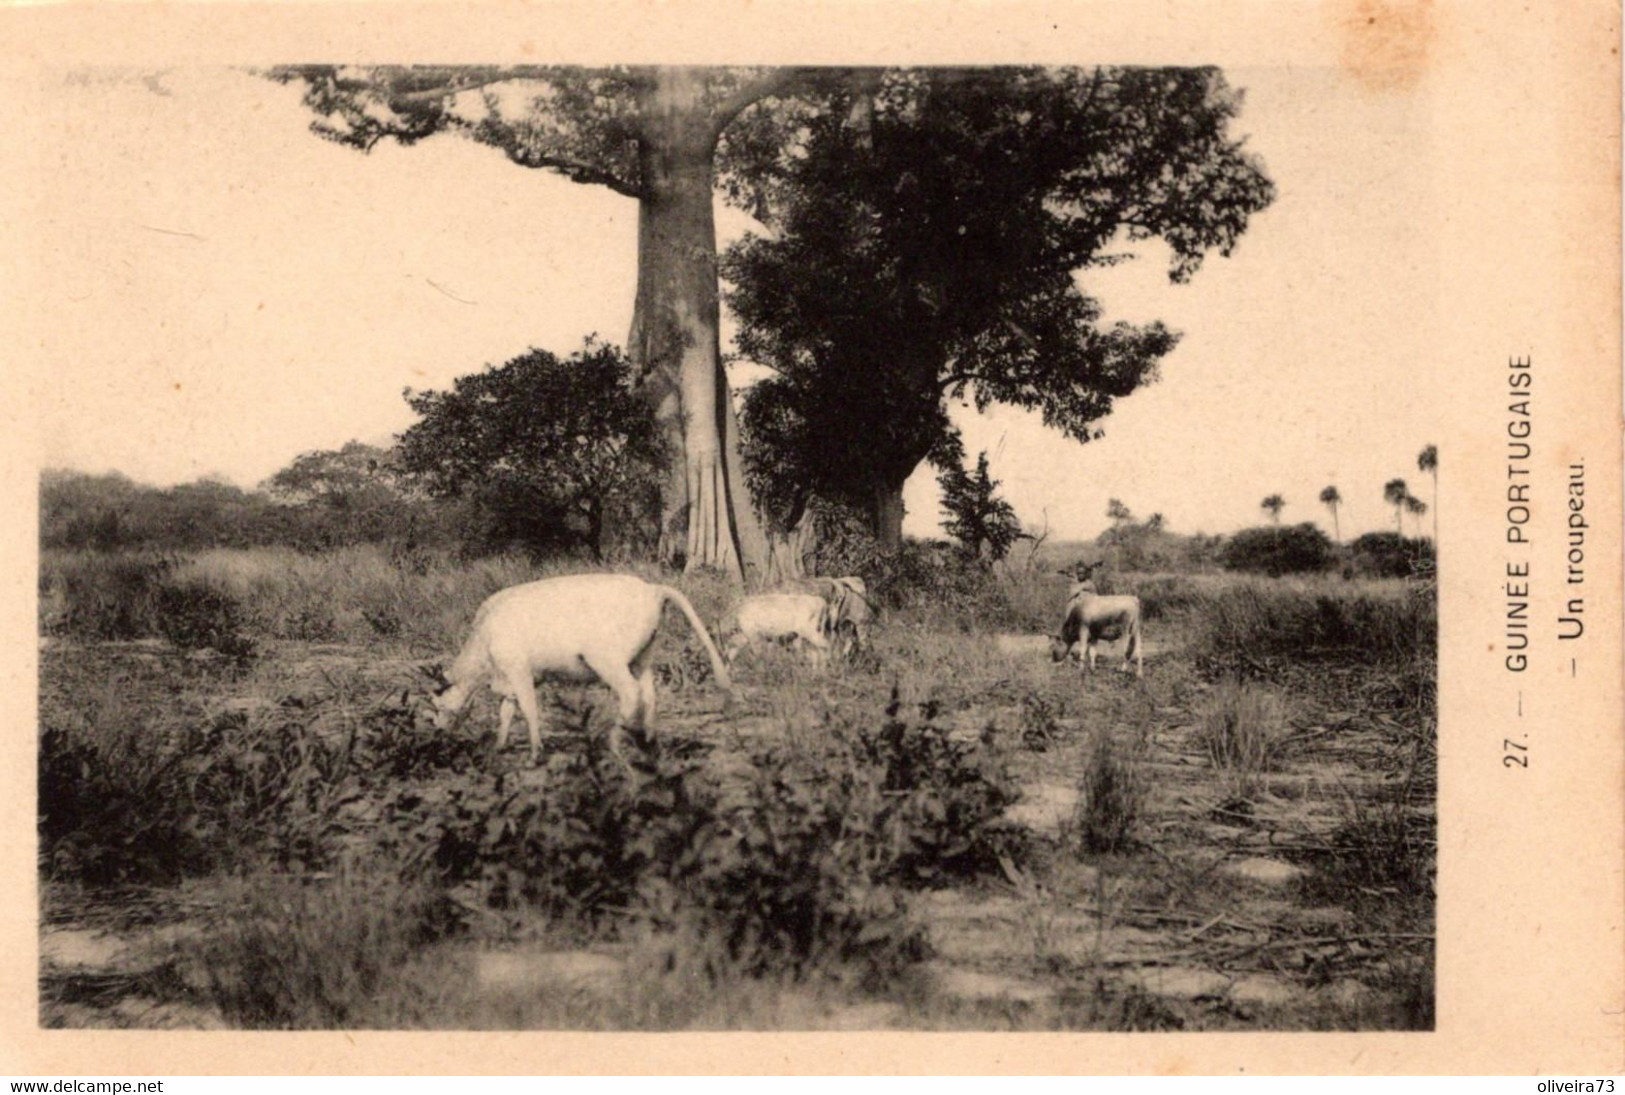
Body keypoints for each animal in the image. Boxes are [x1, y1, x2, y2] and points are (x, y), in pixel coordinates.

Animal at [432, 571, 737, 760]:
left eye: (436, 705)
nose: (438, 732)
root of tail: (652, 589)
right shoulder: (512, 679)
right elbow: (506, 712)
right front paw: (499, 745)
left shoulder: (519, 670)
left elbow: (529, 709)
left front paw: (535, 752)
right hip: (643, 657)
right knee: (650, 696)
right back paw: (650, 743)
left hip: (608, 660)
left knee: (631, 694)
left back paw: (613, 743)